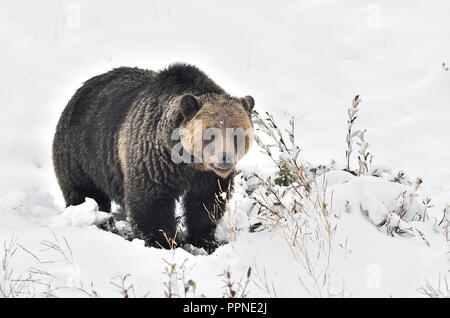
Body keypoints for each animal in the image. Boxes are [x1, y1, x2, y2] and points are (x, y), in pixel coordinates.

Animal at [52, 63, 253, 250]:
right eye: (210, 134)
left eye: (236, 133)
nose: (225, 157)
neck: (188, 161)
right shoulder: (155, 161)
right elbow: (151, 202)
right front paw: (164, 242)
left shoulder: (207, 176)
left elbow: (206, 204)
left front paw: (204, 240)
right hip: (82, 155)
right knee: (85, 193)